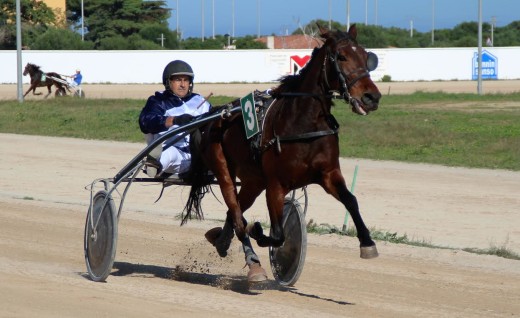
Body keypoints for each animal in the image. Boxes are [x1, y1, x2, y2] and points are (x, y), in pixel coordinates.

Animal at [183, 24, 382, 284]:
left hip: (253, 181)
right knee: (236, 214)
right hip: (224, 169)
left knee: (234, 212)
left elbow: (351, 200)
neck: (304, 125)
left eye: (366, 56)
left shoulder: (328, 174)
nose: (371, 97)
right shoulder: (276, 184)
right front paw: (258, 231)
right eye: (341, 57)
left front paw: (367, 243)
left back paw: (222, 241)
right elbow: (277, 234)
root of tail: (215, 115)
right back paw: (252, 260)